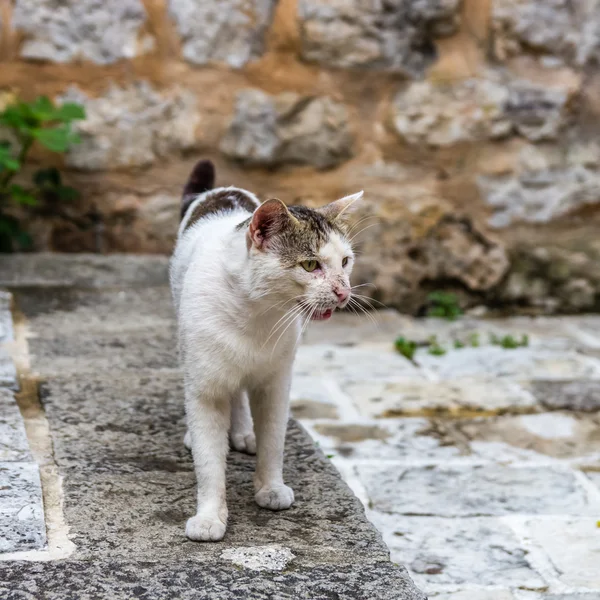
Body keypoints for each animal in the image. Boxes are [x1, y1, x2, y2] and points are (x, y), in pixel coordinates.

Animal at [171, 159, 364, 544]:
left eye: (345, 262)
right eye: (310, 265)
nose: (343, 291)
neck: (257, 315)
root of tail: (221, 191)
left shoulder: (277, 382)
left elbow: (274, 440)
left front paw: (270, 487)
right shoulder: (205, 385)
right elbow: (209, 461)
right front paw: (209, 516)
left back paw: (244, 431)